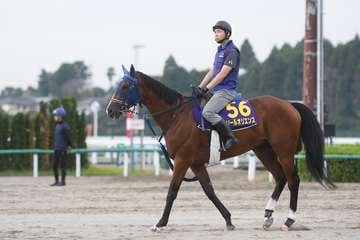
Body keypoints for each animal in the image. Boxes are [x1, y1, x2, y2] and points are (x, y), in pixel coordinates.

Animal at [105, 64, 334, 232]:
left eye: (125, 86)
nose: (110, 110)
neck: (177, 115)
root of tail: (289, 104)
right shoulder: (196, 163)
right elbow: (209, 191)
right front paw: (229, 219)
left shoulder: (182, 160)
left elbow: (172, 191)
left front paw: (160, 223)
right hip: (263, 150)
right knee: (280, 178)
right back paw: (268, 216)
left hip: (284, 151)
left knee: (293, 180)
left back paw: (288, 220)